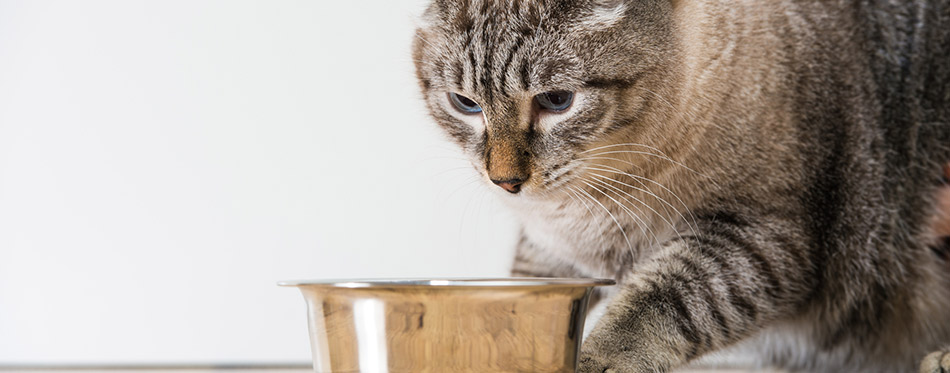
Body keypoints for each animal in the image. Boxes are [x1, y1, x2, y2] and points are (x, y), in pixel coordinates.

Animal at [410, 0, 950, 370]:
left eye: (556, 101)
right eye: (466, 104)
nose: (506, 182)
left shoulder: (760, 239)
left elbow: (659, 301)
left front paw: (595, 357)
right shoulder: (548, 251)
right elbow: (514, 299)